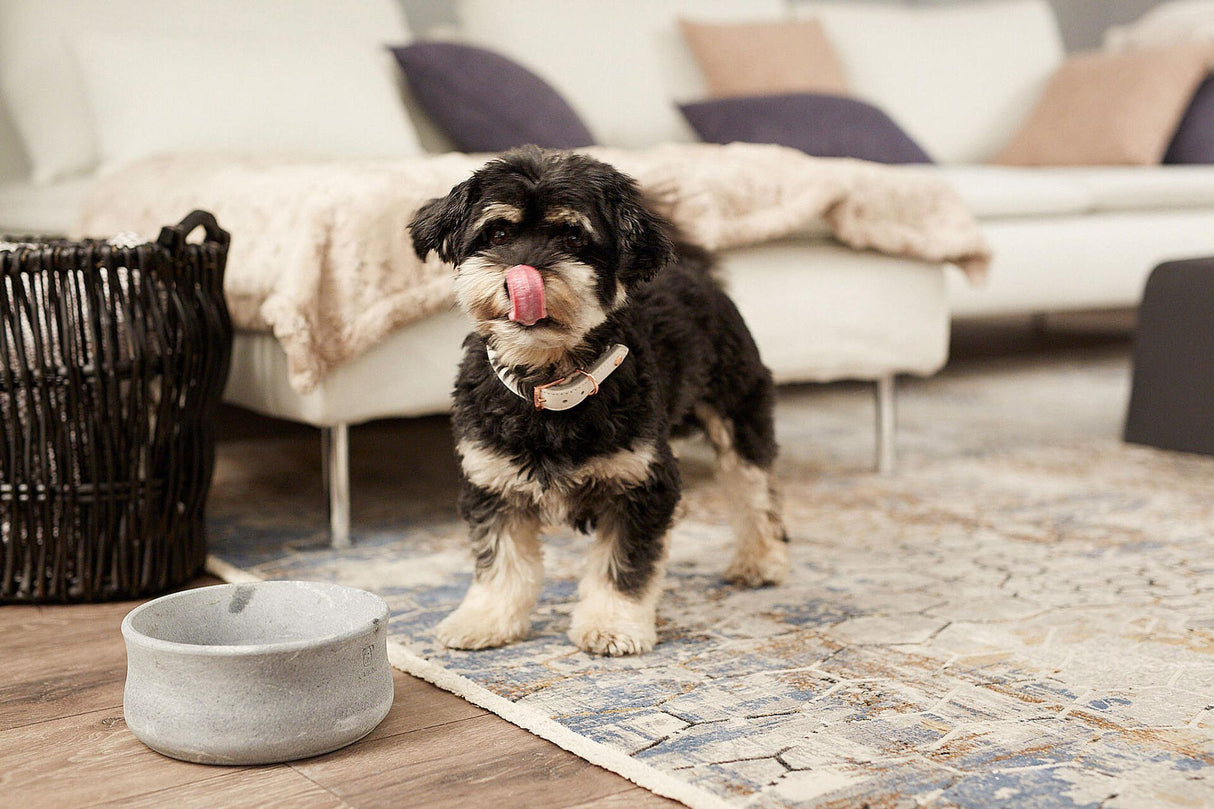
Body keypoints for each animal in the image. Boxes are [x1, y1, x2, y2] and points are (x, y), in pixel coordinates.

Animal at [407, 146, 786, 655]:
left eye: (572, 236)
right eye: (498, 233)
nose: (517, 278)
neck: (550, 385)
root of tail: (692, 268)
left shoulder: (642, 484)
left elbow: (622, 565)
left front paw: (612, 625)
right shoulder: (492, 483)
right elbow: (502, 564)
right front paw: (485, 620)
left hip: (738, 410)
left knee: (753, 490)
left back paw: (761, 561)